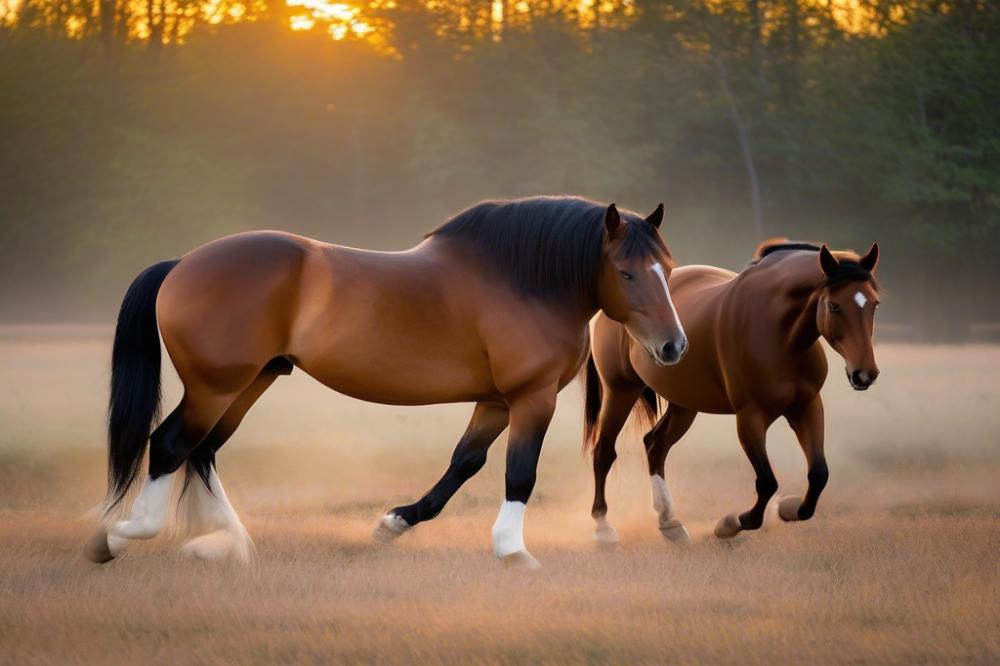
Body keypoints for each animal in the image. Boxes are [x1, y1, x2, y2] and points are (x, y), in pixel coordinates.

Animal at [83, 196, 688, 570]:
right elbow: (520, 472)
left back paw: (226, 544)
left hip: (249, 383)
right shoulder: (531, 398)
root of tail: (182, 263)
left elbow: (464, 464)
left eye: (669, 265)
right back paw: (121, 535)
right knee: (171, 444)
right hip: (216, 386)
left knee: (203, 450)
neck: (523, 281)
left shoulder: (496, 401)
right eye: (627, 272)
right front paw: (514, 551)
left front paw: (394, 522)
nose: (673, 347)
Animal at [583, 240, 880, 544]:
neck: (779, 334)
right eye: (834, 305)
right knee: (604, 451)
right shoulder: (750, 418)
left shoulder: (807, 407)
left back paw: (670, 524)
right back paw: (604, 528)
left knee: (655, 445)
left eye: (874, 304)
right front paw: (731, 523)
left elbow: (819, 474)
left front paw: (788, 508)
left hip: (684, 403)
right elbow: (766, 482)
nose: (865, 374)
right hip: (621, 390)